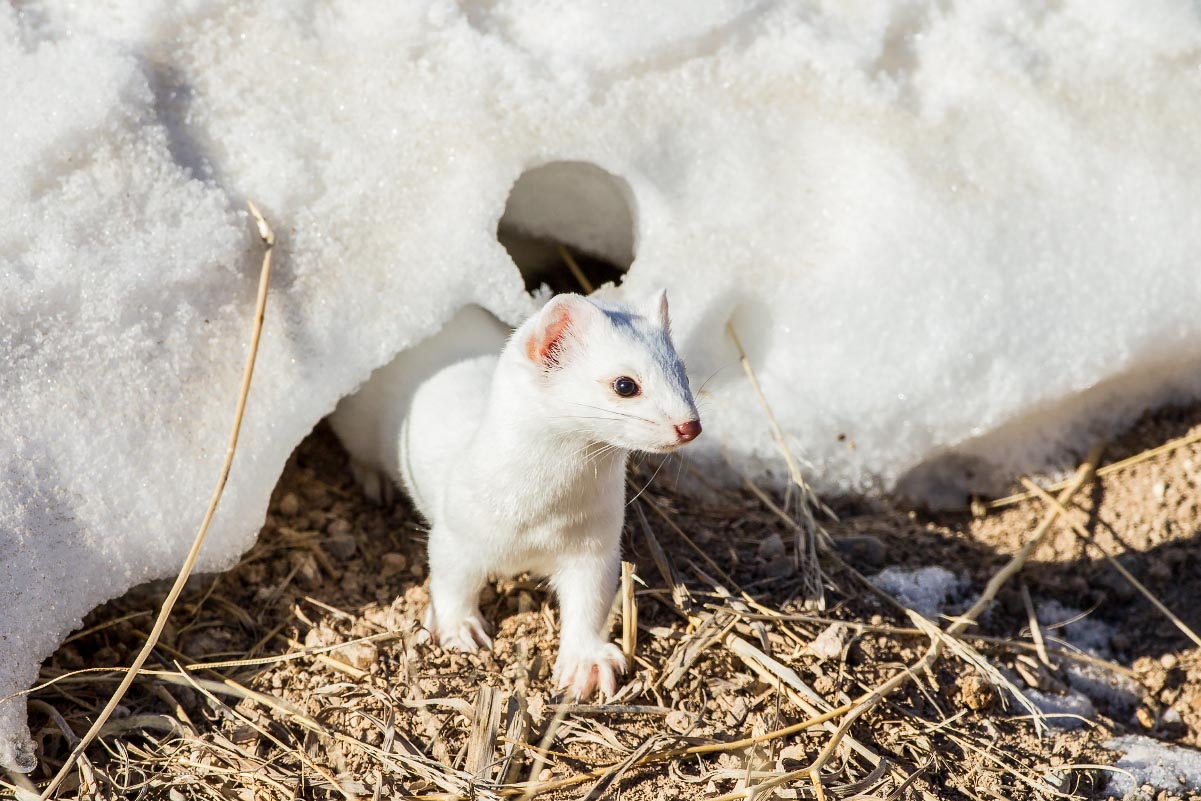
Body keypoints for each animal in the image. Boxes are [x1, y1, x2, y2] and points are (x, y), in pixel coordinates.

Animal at [331, 293, 701, 701]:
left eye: (683, 372)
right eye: (625, 384)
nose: (690, 425)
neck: (543, 513)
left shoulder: (596, 541)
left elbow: (591, 601)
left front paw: (587, 664)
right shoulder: (456, 529)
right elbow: (451, 580)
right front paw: (460, 629)